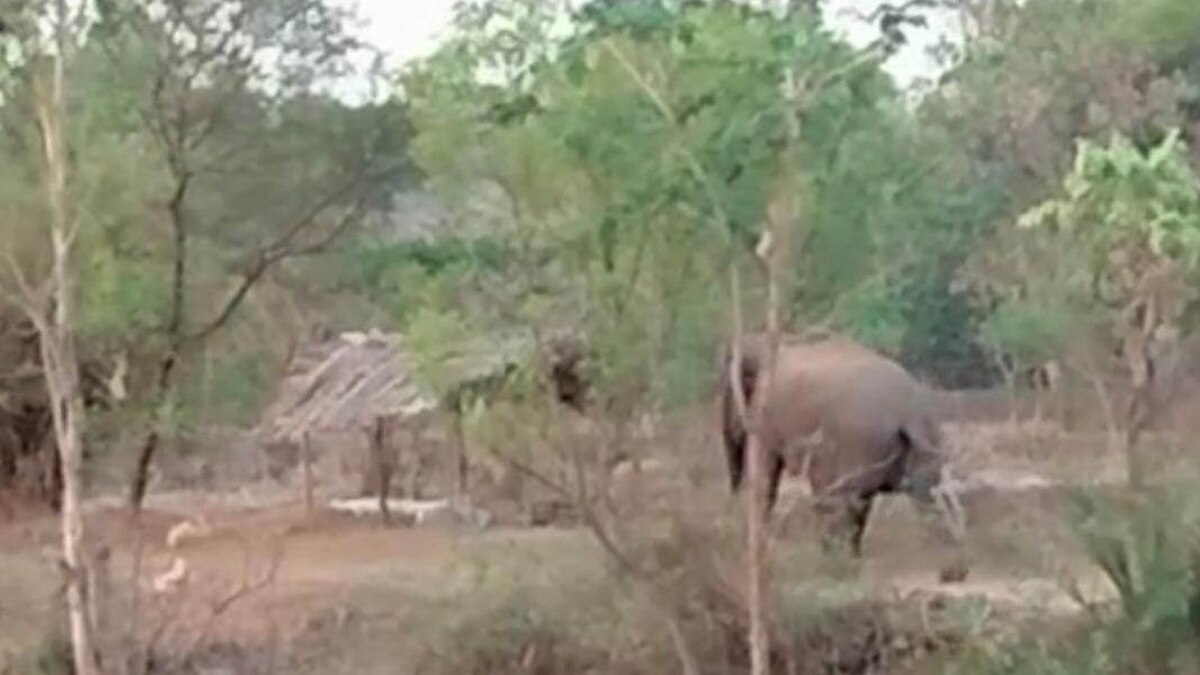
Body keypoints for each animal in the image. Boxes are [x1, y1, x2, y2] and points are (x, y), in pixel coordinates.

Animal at [720, 332, 967, 570]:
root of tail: (906, 411)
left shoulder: (766, 418)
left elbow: (765, 476)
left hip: (858, 440)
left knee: (843, 498)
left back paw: (835, 563)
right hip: (920, 441)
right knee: (909, 495)